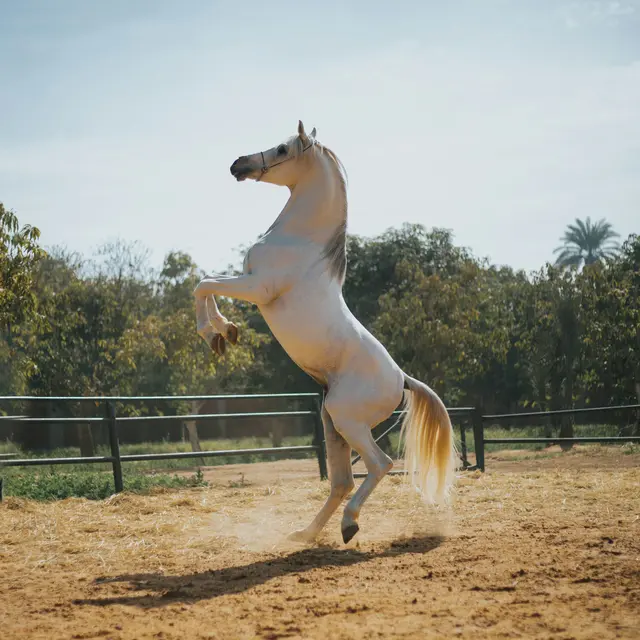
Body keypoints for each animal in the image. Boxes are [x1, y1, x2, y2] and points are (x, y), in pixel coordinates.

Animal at [193, 121, 457, 544]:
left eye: (282, 149)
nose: (238, 164)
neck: (299, 240)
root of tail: (402, 379)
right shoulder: (248, 281)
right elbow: (207, 283)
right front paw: (225, 333)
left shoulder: (258, 287)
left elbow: (203, 284)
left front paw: (215, 333)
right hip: (332, 424)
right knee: (342, 481)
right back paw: (306, 533)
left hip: (347, 420)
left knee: (380, 465)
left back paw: (349, 525)